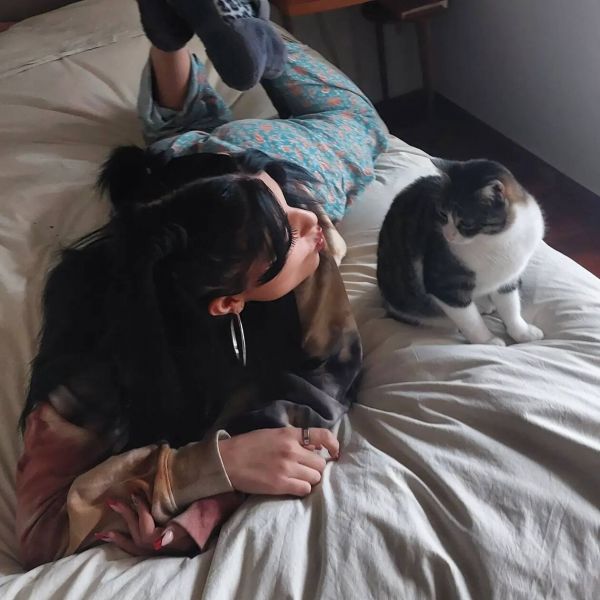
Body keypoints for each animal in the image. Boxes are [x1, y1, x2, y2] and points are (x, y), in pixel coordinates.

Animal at [376, 158, 545, 346]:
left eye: (466, 223)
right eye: (442, 214)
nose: (448, 235)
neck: (497, 240)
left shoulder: (508, 277)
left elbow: (511, 307)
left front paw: (523, 332)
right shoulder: (445, 283)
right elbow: (471, 320)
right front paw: (487, 341)